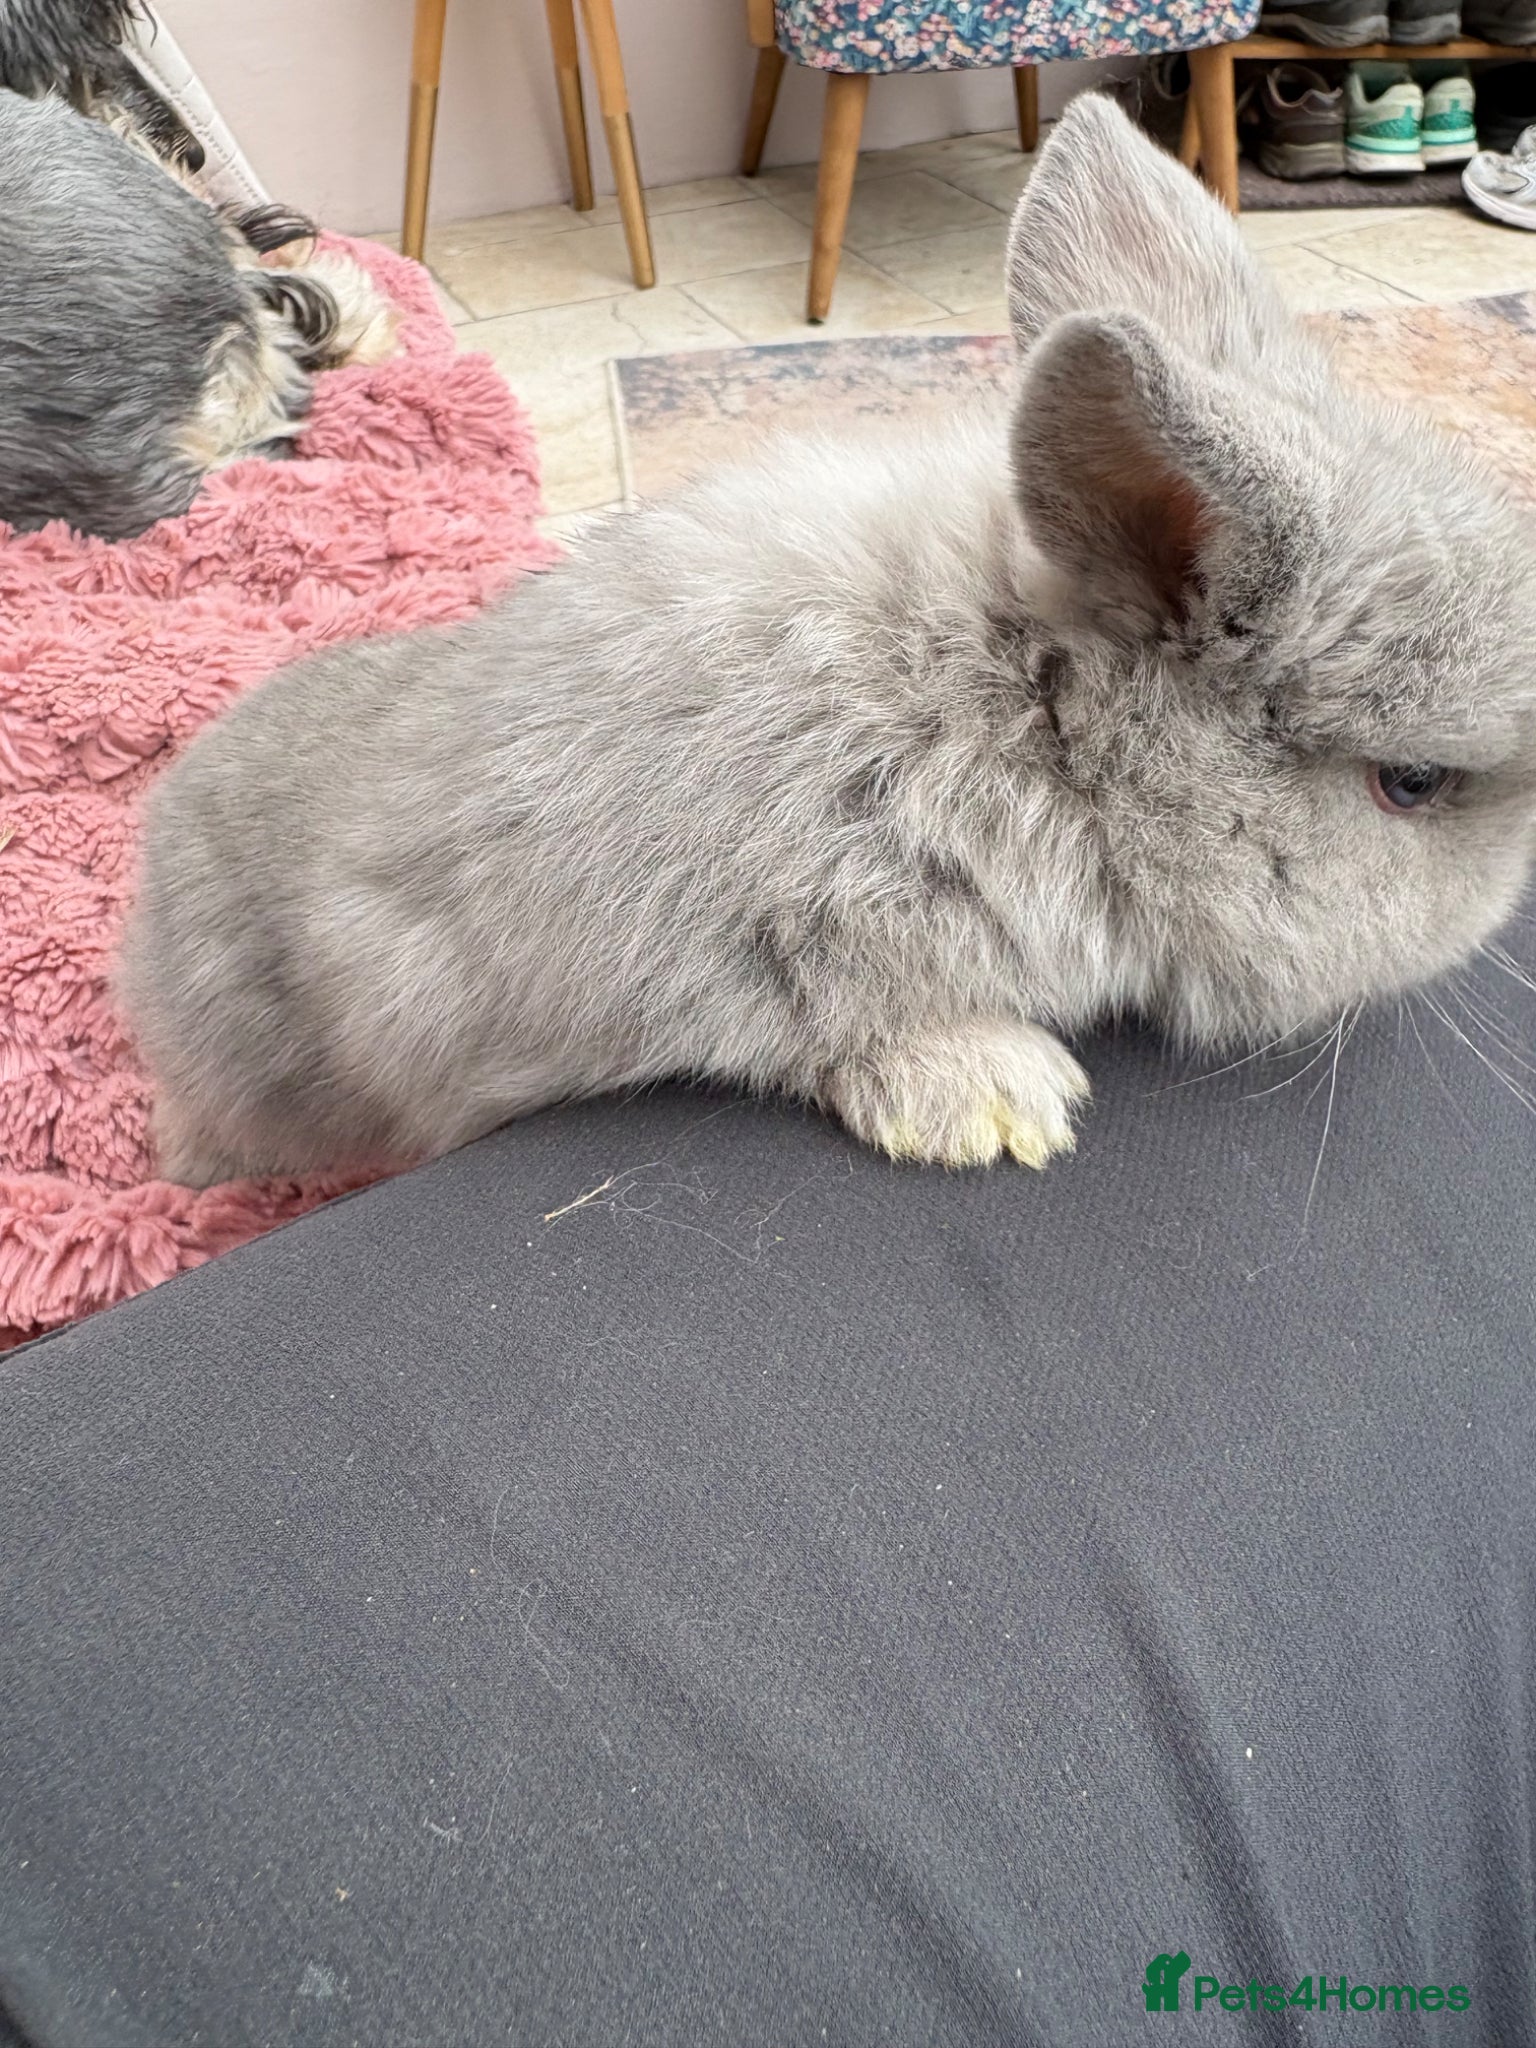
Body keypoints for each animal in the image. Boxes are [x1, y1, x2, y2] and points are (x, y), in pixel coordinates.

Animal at [117, 93, 1536, 1187]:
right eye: (1412, 784)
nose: (1498, 918)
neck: (1026, 721)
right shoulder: (733, 933)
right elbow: (827, 1018)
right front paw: (997, 1102)